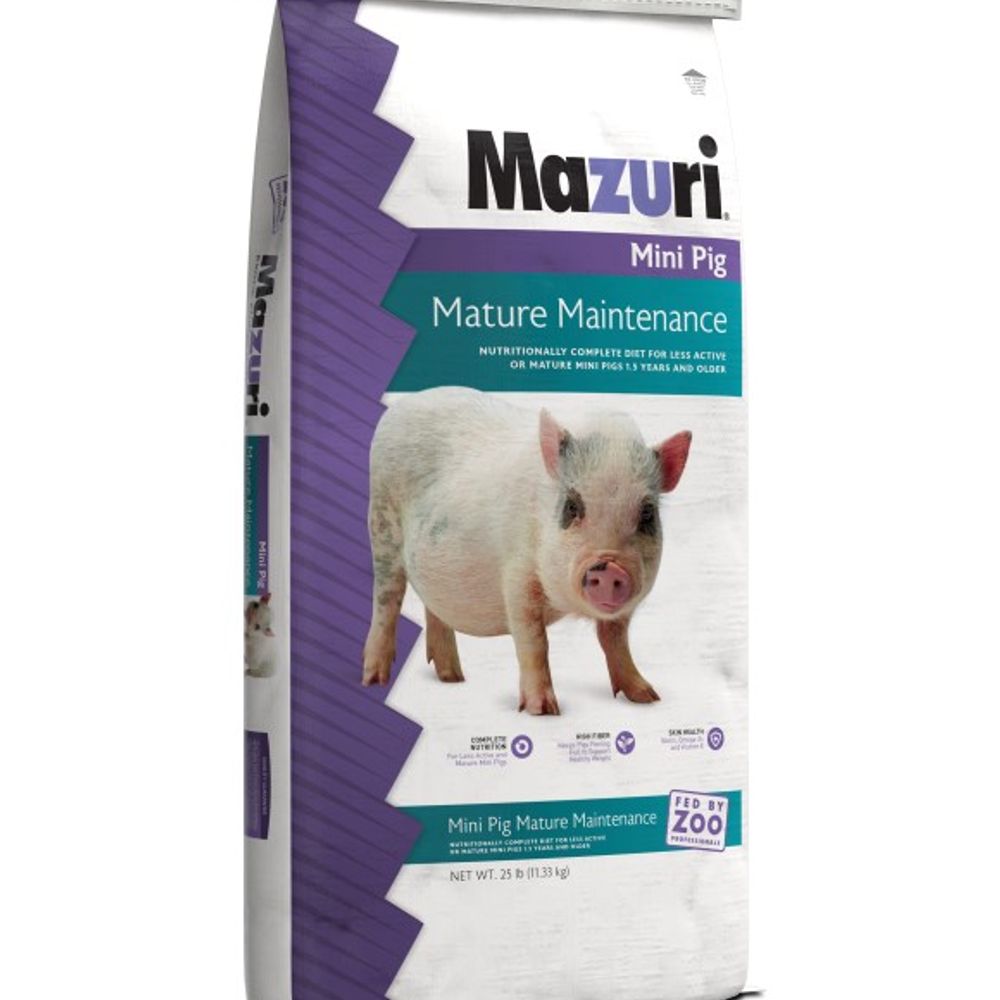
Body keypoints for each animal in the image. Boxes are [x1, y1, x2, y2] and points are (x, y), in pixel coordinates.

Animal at [362, 387, 692, 715]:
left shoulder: (625, 607)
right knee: (387, 599)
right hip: (381, 524)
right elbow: (533, 640)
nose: (610, 567)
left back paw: (453, 677)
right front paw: (543, 710)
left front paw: (648, 696)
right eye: (571, 506)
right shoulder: (518, 575)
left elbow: (616, 640)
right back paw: (373, 679)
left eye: (647, 513)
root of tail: (403, 405)